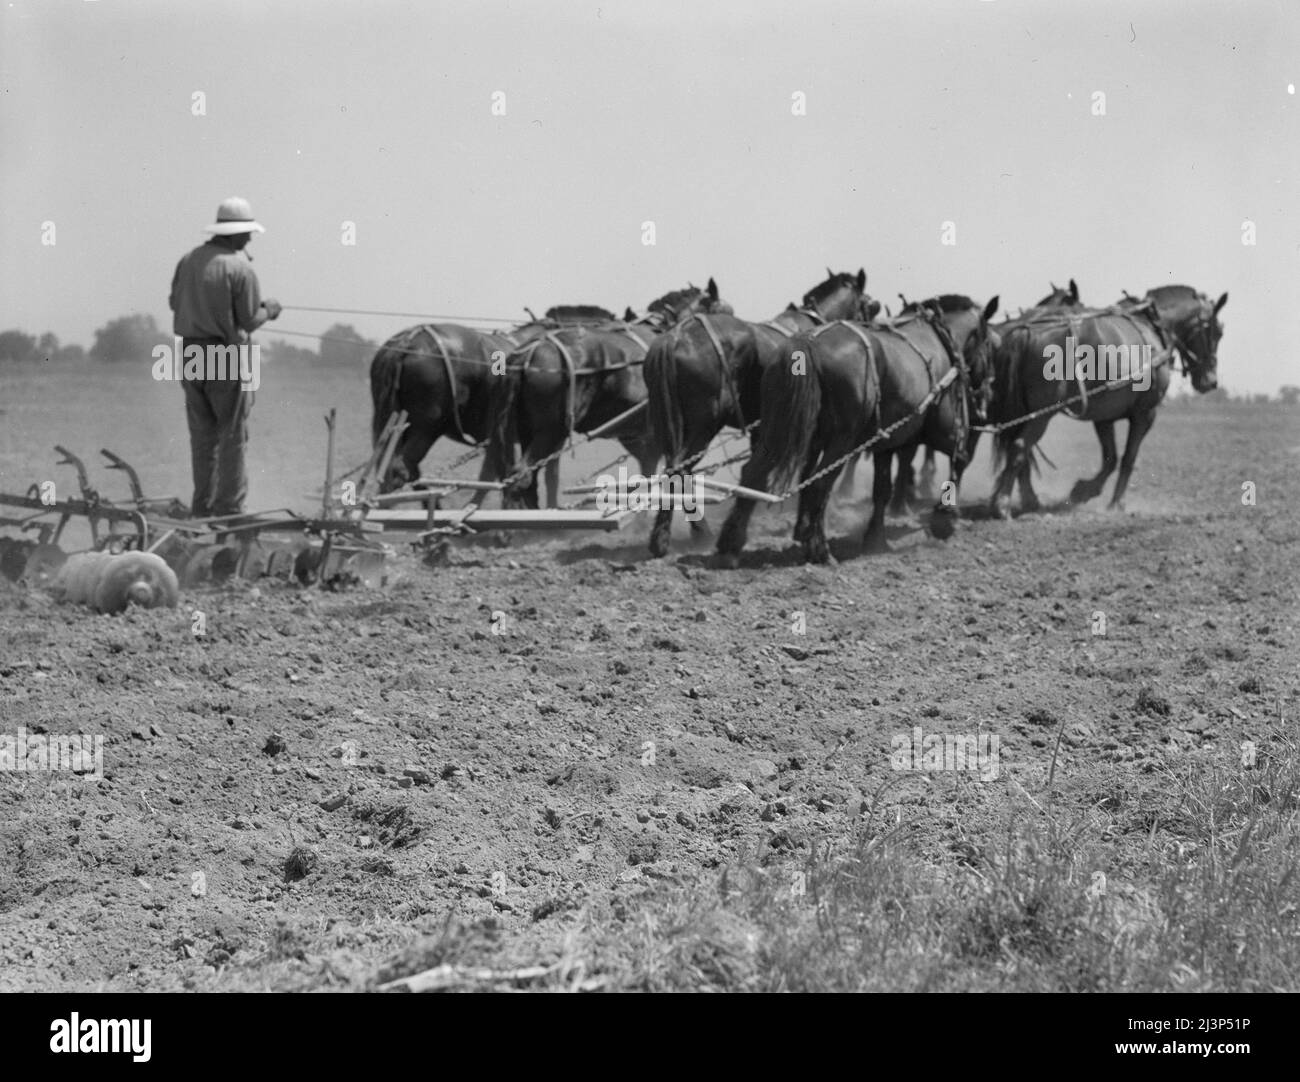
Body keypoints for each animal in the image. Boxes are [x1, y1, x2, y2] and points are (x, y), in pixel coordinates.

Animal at [369, 304, 616, 494]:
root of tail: (406, 343)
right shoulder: (549, 433)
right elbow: (547, 475)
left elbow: (492, 474)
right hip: (426, 427)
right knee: (400, 470)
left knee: (396, 469)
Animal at [488, 283, 733, 512]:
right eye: (726, 312)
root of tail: (528, 353)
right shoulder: (654, 433)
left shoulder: (635, 435)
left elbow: (647, 473)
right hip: (550, 430)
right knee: (522, 476)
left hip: (529, 429)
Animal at [644, 270, 878, 556]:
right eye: (871, 306)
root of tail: (676, 337)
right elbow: (804, 472)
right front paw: (802, 529)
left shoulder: (767, 428)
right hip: (705, 425)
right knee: (680, 470)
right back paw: (676, 536)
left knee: (674, 468)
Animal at [717, 293, 998, 567]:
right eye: (988, 344)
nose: (987, 393)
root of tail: (807, 344)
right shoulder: (940, 429)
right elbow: (960, 459)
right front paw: (945, 519)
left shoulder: (887, 442)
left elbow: (882, 490)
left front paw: (875, 539)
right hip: (842, 440)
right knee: (819, 484)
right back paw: (819, 550)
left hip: (778, 428)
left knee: (753, 474)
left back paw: (731, 545)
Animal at [987, 283, 1222, 520]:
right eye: (1217, 331)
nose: (1211, 381)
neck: (1151, 324)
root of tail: (1026, 329)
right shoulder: (1145, 413)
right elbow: (1128, 457)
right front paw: (1116, 503)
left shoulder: (1104, 416)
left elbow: (1110, 458)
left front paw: (1084, 490)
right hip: (1040, 415)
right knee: (1019, 448)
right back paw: (1003, 504)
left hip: (1023, 413)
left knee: (1020, 451)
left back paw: (1023, 500)